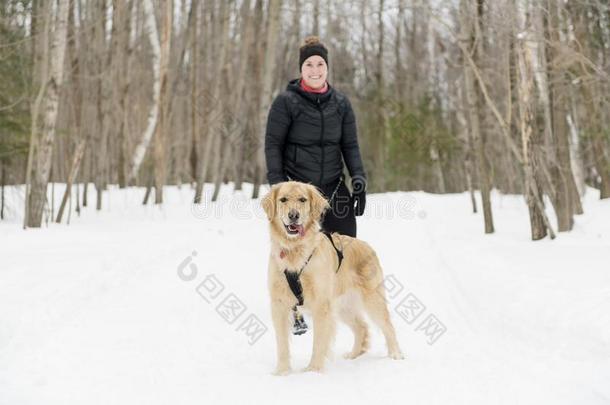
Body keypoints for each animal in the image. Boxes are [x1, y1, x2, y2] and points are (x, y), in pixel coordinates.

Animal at [262, 181, 402, 374]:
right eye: (283, 200)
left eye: (302, 199)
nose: (293, 215)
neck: (295, 251)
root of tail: (367, 245)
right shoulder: (279, 304)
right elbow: (282, 343)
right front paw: (282, 372)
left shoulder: (321, 304)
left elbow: (319, 342)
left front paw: (313, 370)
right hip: (343, 306)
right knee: (362, 326)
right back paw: (354, 355)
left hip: (372, 300)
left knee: (388, 326)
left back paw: (395, 355)